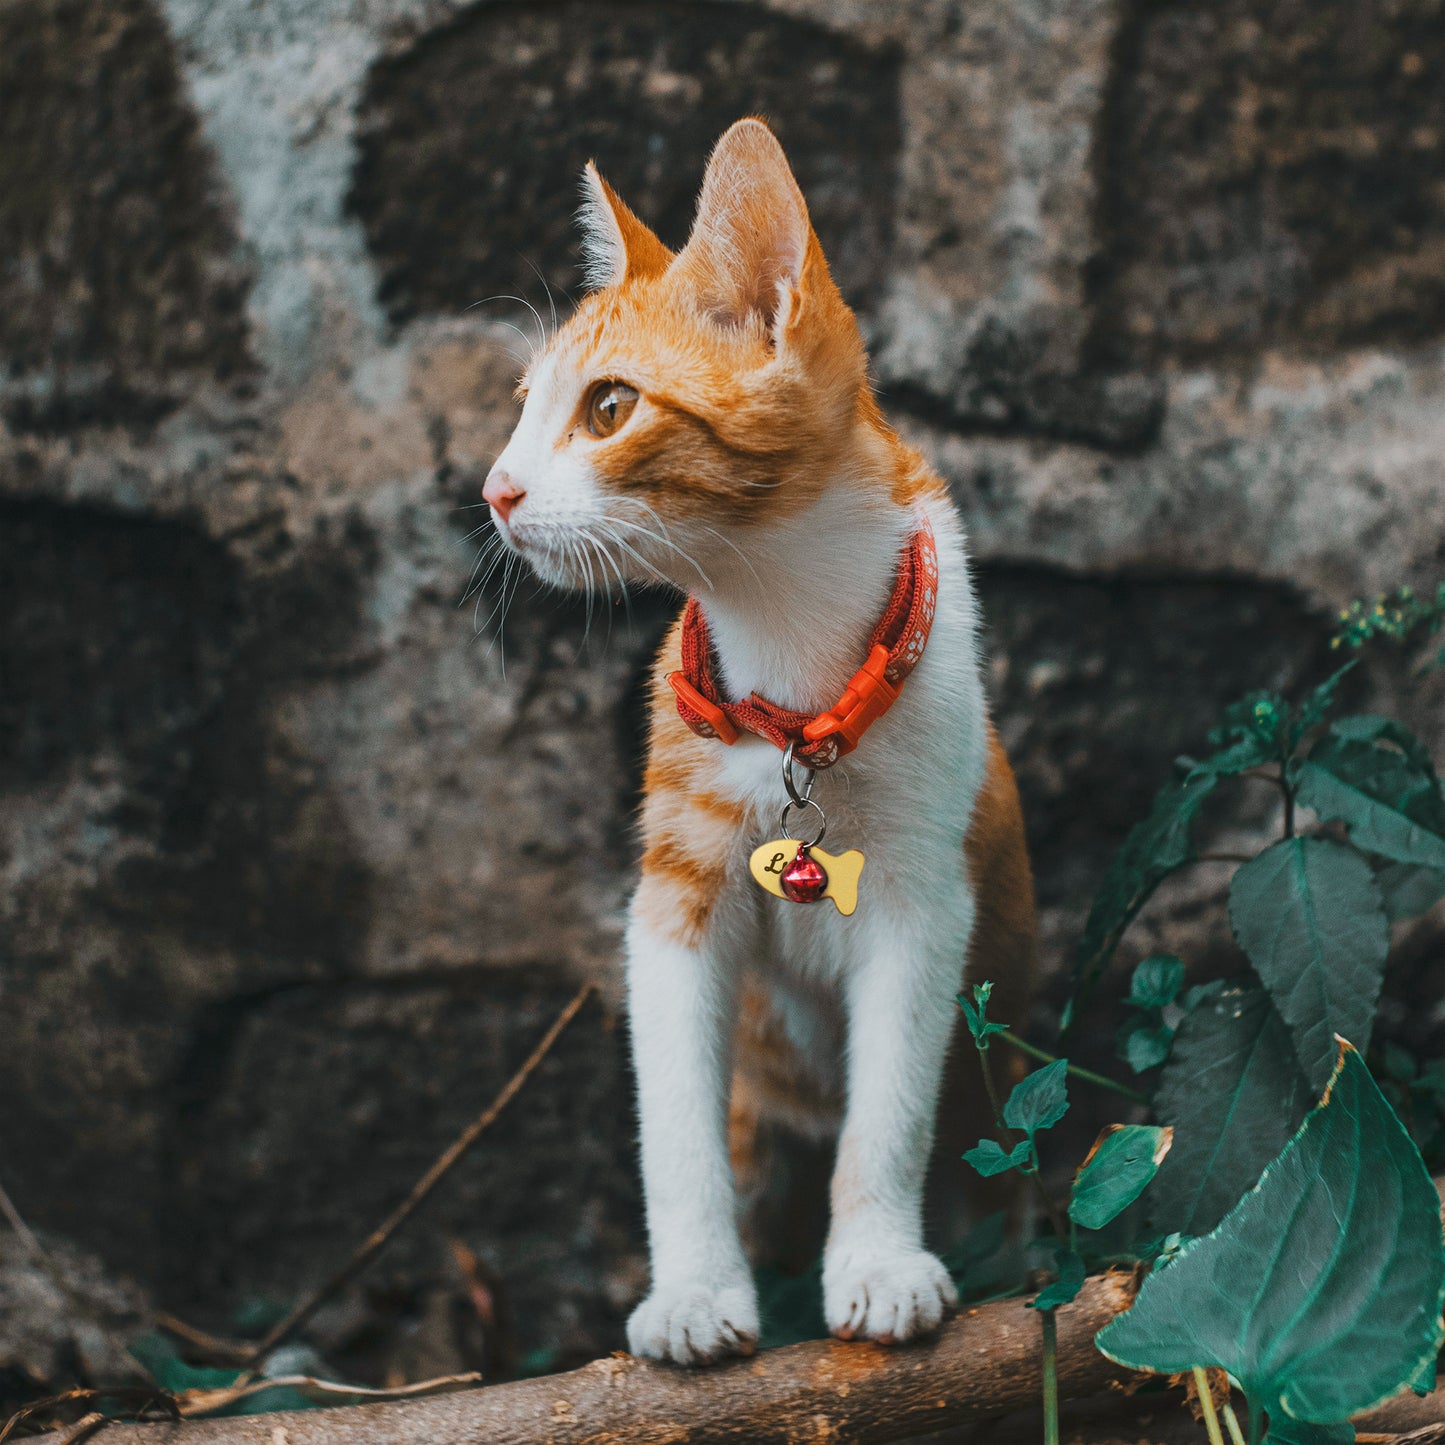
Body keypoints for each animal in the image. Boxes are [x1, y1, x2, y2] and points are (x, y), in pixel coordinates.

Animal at [488, 115, 1040, 1364]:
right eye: (524, 405)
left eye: (606, 409)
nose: (494, 491)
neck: (789, 662)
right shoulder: (671, 894)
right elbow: (673, 1124)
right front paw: (694, 1287)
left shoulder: (928, 889)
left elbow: (892, 1101)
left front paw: (877, 1260)